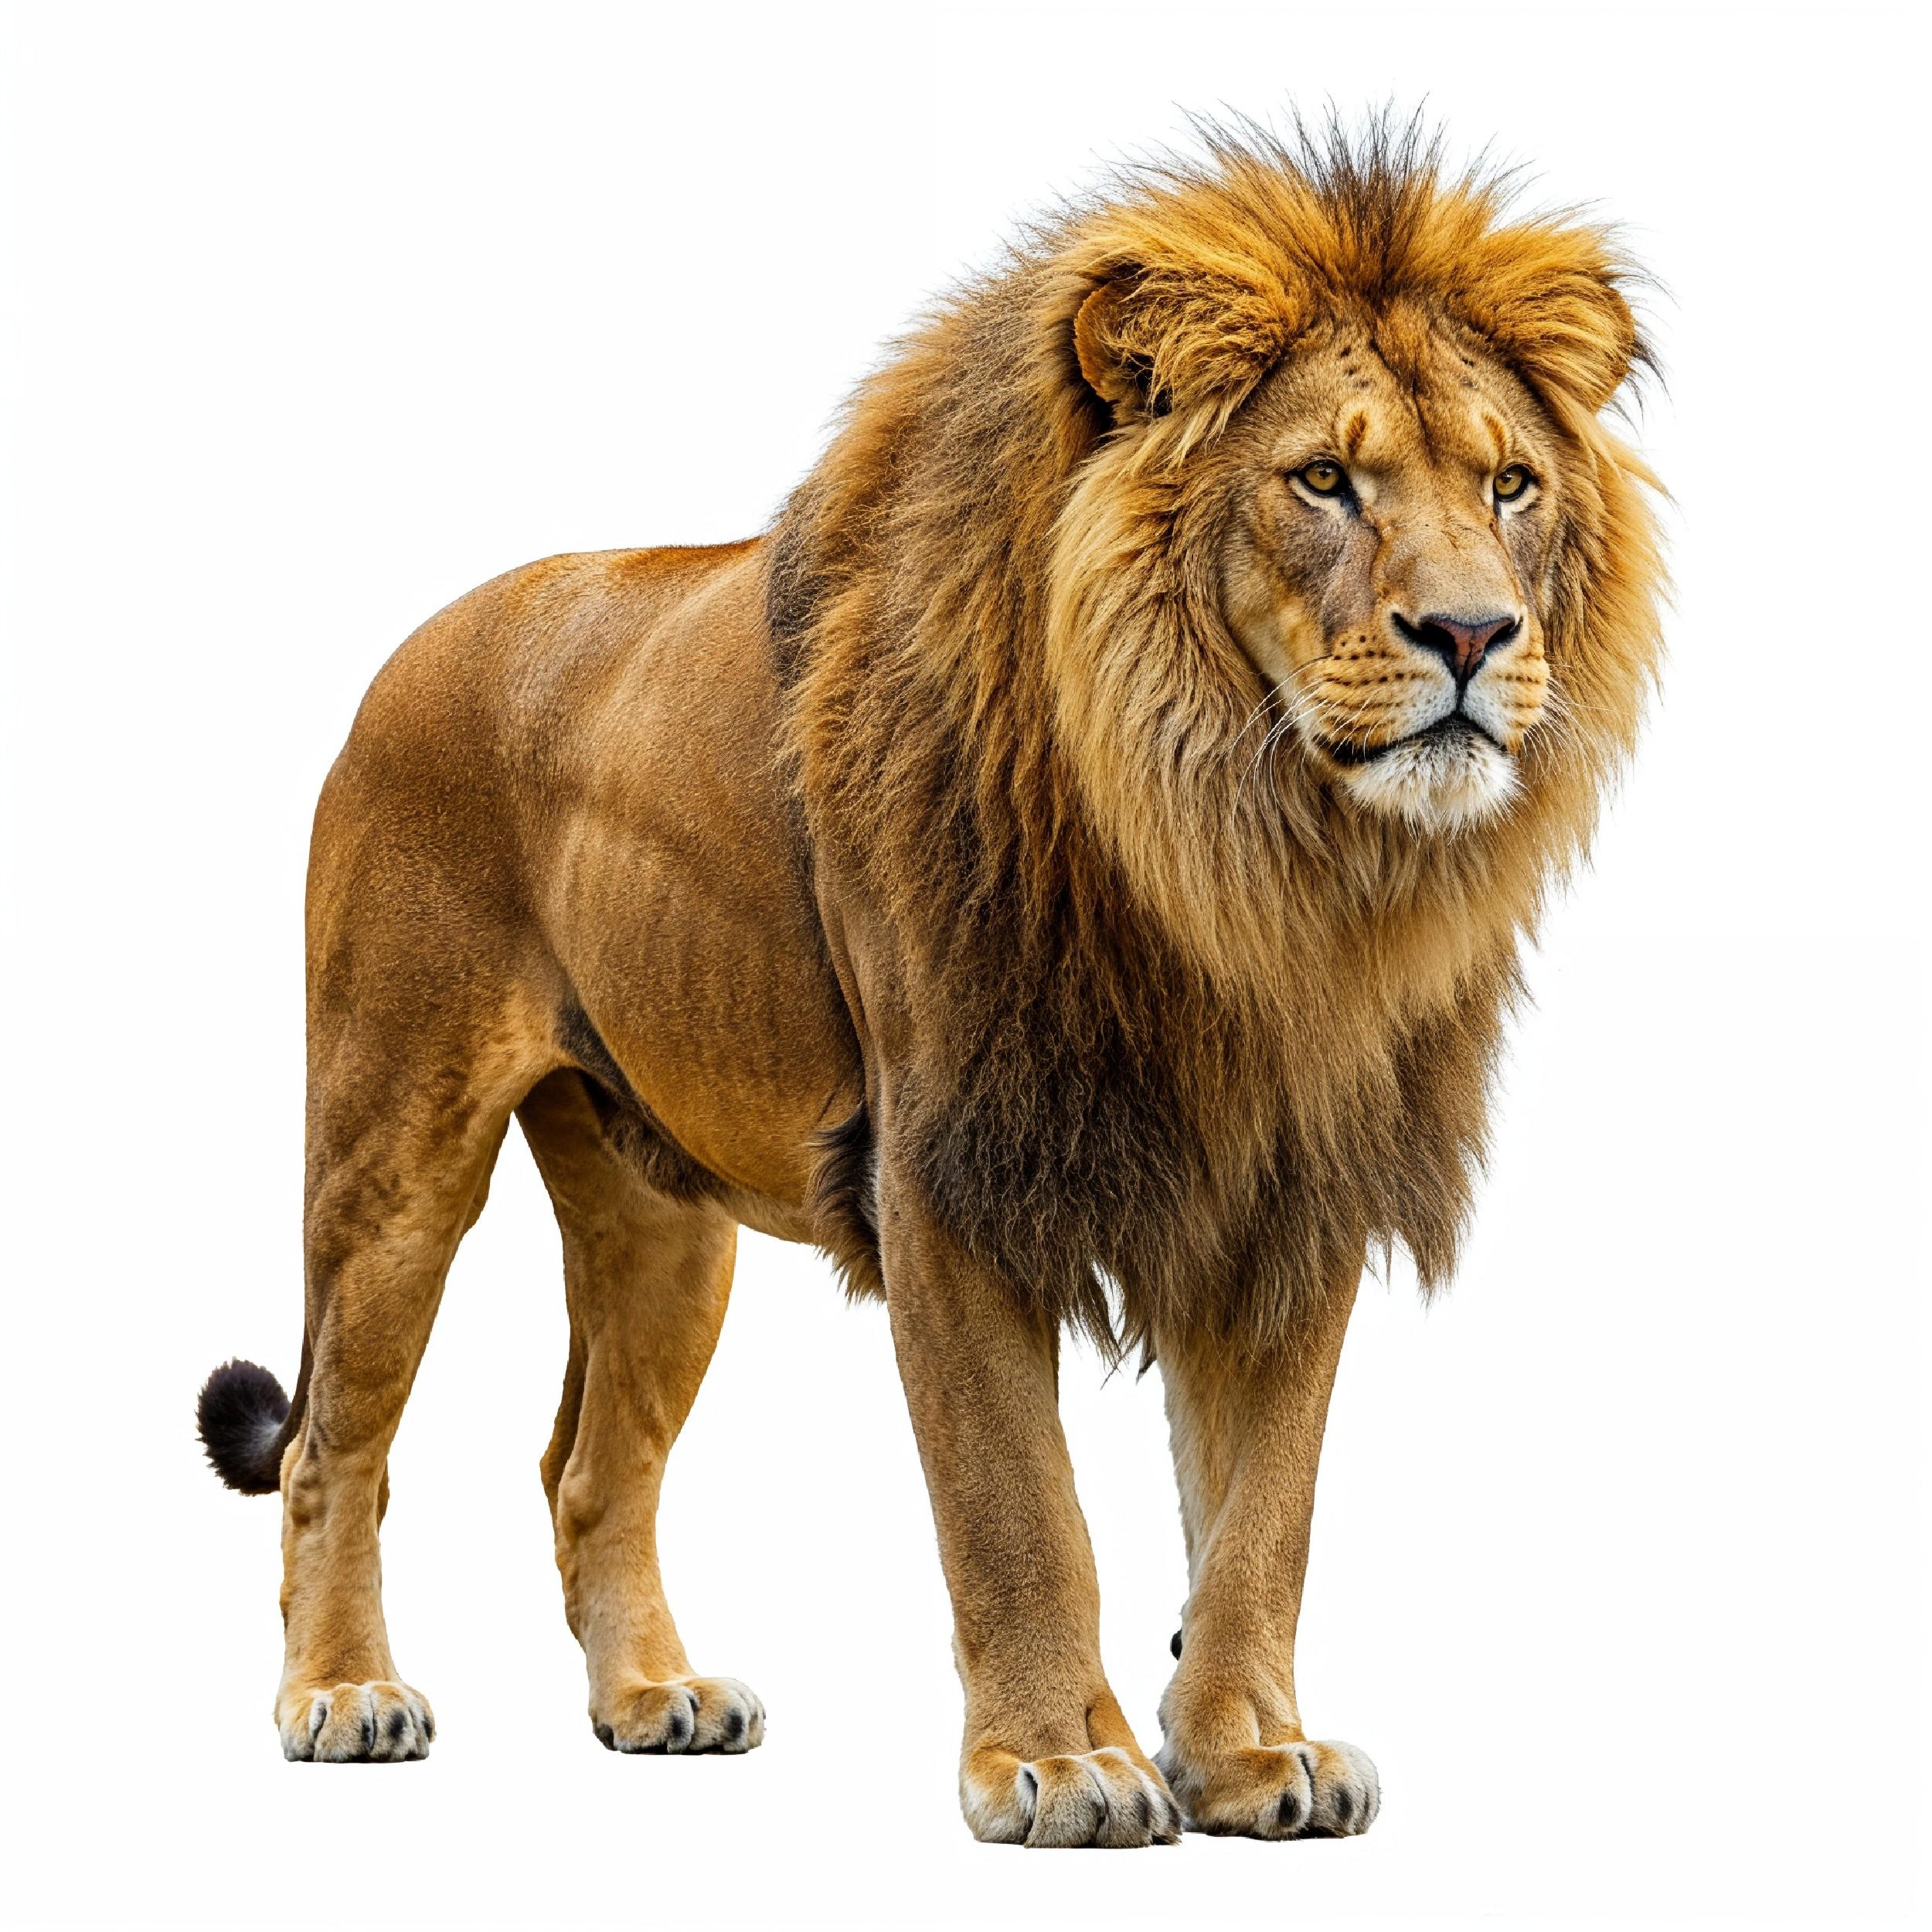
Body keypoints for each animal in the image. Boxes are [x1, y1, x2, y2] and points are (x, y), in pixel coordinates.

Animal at [196, 118, 1664, 1846]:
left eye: (1509, 483)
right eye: (1322, 479)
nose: (1474, 633)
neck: (1244, 861)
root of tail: (418, 642)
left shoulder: (1291, 1181)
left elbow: (1264, 1512)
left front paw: (1250, 1754)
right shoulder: (948, 1164)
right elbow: (1017, 1505)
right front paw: (1057, 1762)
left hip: (663, 1216)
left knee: (589, 1465)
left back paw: (653, 1697)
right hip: (393, 1147)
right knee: (333, 1446)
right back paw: (342, 1693)